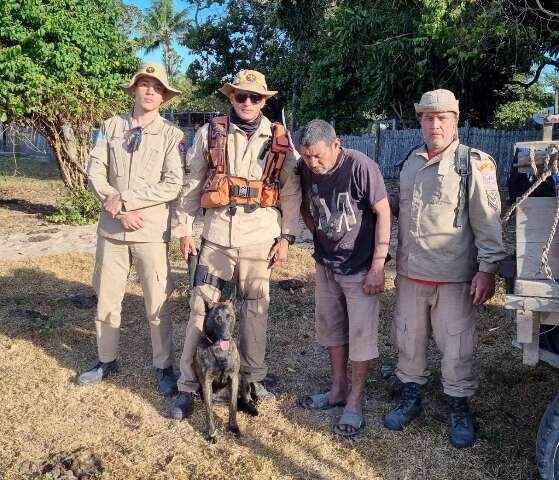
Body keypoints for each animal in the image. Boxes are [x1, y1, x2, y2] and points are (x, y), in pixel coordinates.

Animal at [195, 300, 258, 442]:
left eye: (229, 317)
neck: (219, 351)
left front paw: (233, 427)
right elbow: (209, 411)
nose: (226, 337)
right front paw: (211, 434)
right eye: (217, 318)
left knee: (245, 398)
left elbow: (233, 407)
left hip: (242, 377)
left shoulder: (234, 378)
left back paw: (252, 408)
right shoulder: (206, 383)